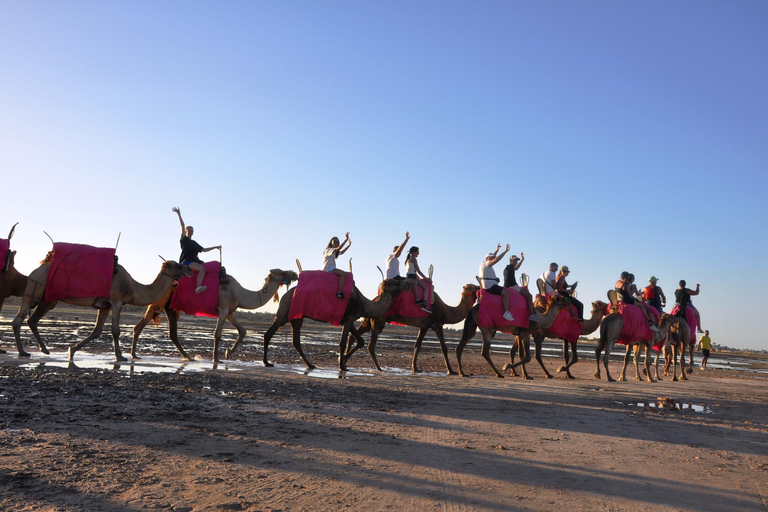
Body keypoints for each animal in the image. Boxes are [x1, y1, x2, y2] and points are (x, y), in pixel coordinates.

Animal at [11, 260, 190, 360]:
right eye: (177, 264)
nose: (188, 270)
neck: (133, 287)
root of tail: (34, 271)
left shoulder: (105, 305)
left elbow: (97, 331)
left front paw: (72, 350)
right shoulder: (117, 302)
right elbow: (115, 331)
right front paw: (120, 356)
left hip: (47, 299)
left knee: (31, 320)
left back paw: (44, 350)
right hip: (34, 288)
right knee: (18, 320)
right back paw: (23, 352)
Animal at [130, 268, 298, 360]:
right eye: (282, 271)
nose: (295, 274)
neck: (240, 293)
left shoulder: (230, 312)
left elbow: (243, 331)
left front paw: (227, 353)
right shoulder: (223, 309)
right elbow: (217, 334)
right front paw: (216, 358)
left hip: (169, 307)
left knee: (171, 333)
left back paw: (188, 357)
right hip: (158, 302)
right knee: (140, 326)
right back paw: (133, 355)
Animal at [234, 278, 412, 370]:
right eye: (397, 280)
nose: (408, 281)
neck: (364, 304)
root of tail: (286, 294)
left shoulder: (349, 319)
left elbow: (360, 341)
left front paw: (343, 361)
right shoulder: (349, 317)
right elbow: (342, 342)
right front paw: (342, 364)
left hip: (296, 317)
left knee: (295, 341)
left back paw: (310, 364)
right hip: (284, 311)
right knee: (269, 333)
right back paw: (267, 362)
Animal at [346, 282, 480, 374]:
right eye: (471, 287)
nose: (479, 287)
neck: (446, 310)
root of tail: (374, 300)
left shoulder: (426, 325)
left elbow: (419, 345)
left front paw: (415, 368)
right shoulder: (434, 324)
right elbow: (442, 347)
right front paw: (451, 371)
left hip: (369, 321)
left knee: (353, 336)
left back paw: (345, 362)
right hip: (378, 321)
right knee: (371, 345)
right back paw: (379, 368)